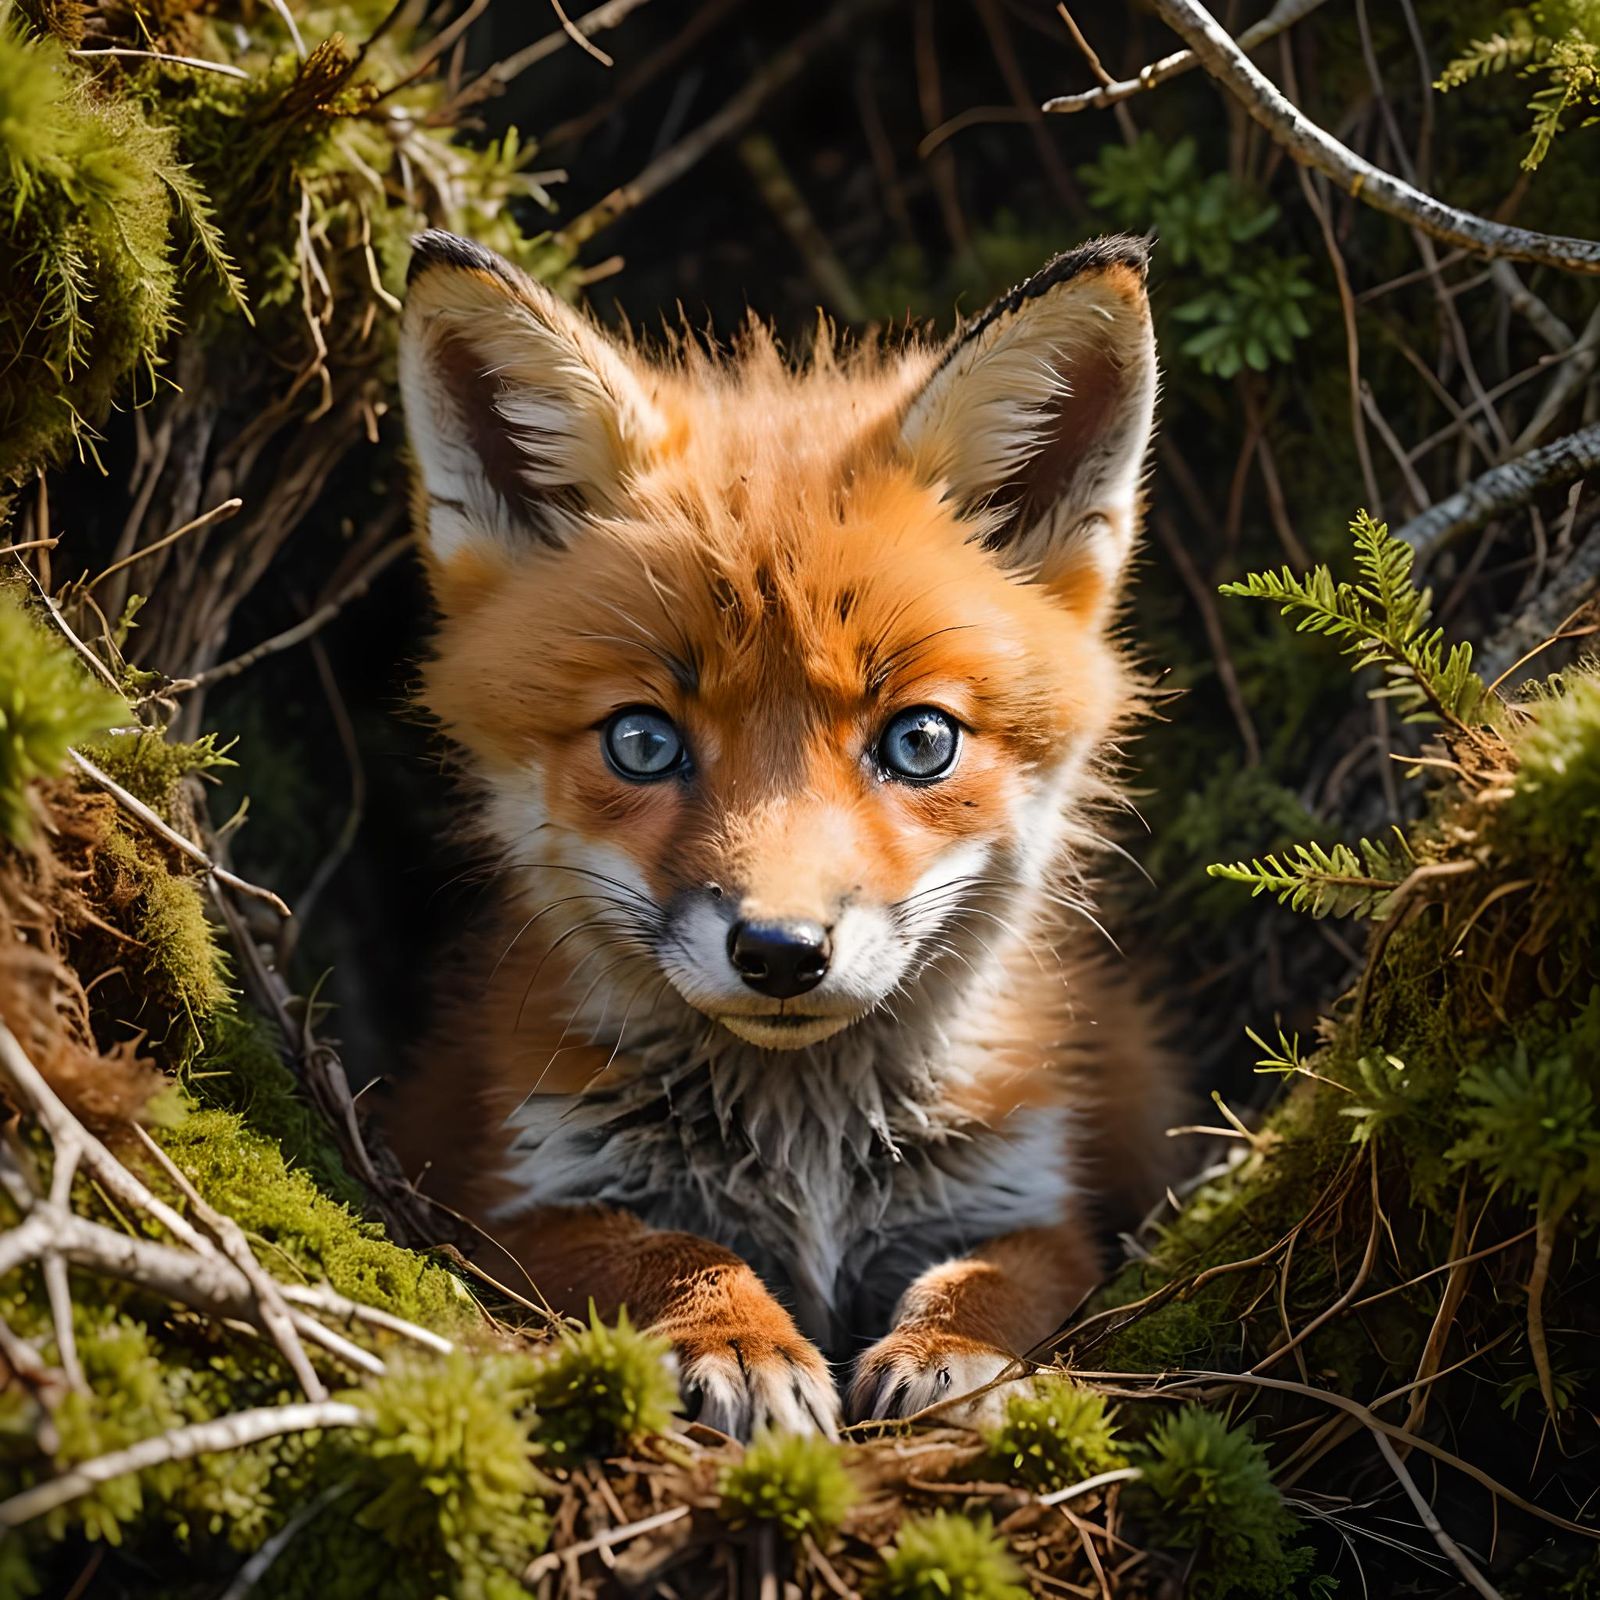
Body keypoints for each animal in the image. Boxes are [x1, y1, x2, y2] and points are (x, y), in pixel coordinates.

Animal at [388, 227, 1182, 1439]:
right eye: (642, 743)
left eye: (919, 742)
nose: (779, 953)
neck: (809, 1147)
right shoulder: (512, 1198)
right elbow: (662, 1248)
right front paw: (740, 1336)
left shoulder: (1014, 1188)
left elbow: (1001, 1275)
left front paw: (953, 1347)